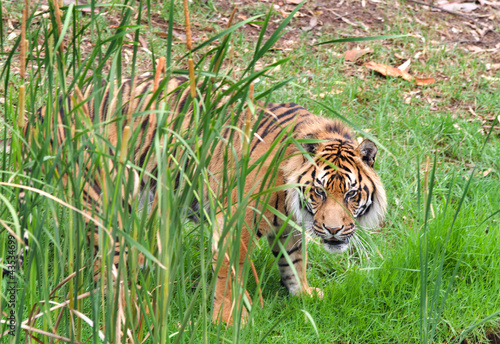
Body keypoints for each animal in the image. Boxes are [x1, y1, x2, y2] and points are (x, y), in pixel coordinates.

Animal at [12, 74, 386, 326]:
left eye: (351, 194)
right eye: (319, 192)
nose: (334, 231)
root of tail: (53, 104)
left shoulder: (289, 223)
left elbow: (295, 260)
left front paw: (304, 294)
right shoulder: (237, 217)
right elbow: (228, 270)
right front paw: (227, 318)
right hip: (105, 198)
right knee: (105, 264)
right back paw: (126, 303)